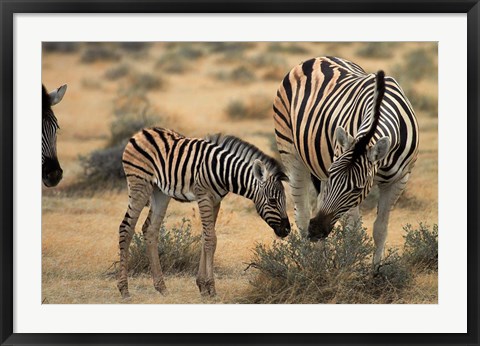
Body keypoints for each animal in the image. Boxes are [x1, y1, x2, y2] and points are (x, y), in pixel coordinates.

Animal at [118, 127, 290, 298]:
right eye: (272, 201)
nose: (287, 230)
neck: (224, 172)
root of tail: (142, 131)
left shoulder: (216, 201)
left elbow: (206, 237)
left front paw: (202, 286)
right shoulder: (204, 197)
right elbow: (211, 239)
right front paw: (211, 288)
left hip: (160, 192)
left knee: (151, 230)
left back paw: (161, 287)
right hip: (139, 185)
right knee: (126, 228)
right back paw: (124, 289)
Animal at [276, 57, 418, 268]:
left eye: (357, 189)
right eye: (332, 177)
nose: (316, 230)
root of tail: (317, 58)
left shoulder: (399, 180)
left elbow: (380, 228)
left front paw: (376, 270)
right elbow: (353, 231)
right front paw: (349, 267)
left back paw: (320, 260)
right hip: (291, 154)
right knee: (302, 214)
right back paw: (307, 263)